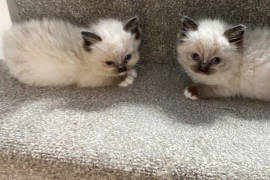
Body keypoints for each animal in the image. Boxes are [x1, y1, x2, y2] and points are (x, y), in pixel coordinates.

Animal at [2, 16, 141, 87]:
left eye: (128, 57)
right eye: (109, 63)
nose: (122, 69)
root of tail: (8, 37)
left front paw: (130, 72)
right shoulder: (92, 79)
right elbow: (112, 79)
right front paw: (128, 78)